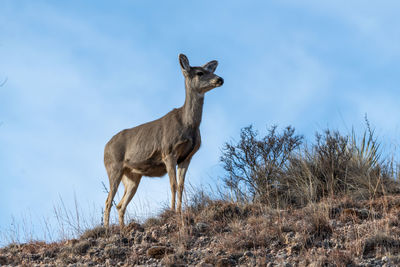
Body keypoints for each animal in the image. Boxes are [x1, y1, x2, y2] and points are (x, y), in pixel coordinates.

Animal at [103, 54, 223, 228]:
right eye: (200, 73)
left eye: (211, 71)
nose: (220, 79)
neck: (188, 125)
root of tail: (105, 148)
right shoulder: (168, 151)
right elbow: (173, 185)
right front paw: (172, 211)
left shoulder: (186, 157)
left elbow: (181, 186)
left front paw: (179, 211)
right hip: (113, 167)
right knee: (108, 201)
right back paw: (106, 229)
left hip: (132, 176)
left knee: (120, 204)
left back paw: (122, 228)